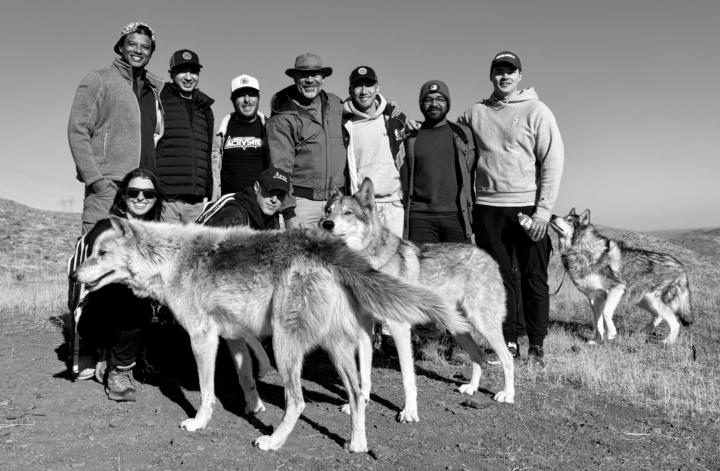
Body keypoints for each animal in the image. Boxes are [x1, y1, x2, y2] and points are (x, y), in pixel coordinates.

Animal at [72, 217, 470, 452]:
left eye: (102, 253)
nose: (75, 275)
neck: (171, 260)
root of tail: (327, 245)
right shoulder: (233, 337)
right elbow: (246, 376)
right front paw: (254, 407)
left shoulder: (203, 338)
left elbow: (206, 392)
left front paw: (199, 422)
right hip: (337, 349)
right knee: (358, 395)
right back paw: (356, 445)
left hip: (285, 345)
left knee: (298, 402)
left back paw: (273, 441)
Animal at [319, 178, 515, 423]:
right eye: (328, 211)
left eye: (348, 213)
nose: (326, 224)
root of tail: (488, 256)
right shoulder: (365, 329)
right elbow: (363, 376)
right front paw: (357, 404)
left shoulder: (399, 328)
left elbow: (407, 377)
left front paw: (409, 412)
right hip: (458, 328)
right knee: (478, 354)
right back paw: (471, 388)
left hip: (483, 325)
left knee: (508, 358)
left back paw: (507, 394)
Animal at [549, 208, 693, 344]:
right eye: (564, 216)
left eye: (568, 220)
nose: (552, 216)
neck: (583, 250)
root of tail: (681, 266)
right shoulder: (595, 299)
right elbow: (598, 322)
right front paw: (596, 340)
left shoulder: (616, 289)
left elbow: (606, 313)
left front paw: (611, 334)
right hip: (644, 300)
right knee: (659, 317)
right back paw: (641, 333)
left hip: (653, 301)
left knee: (675, 323)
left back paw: (667, 342)